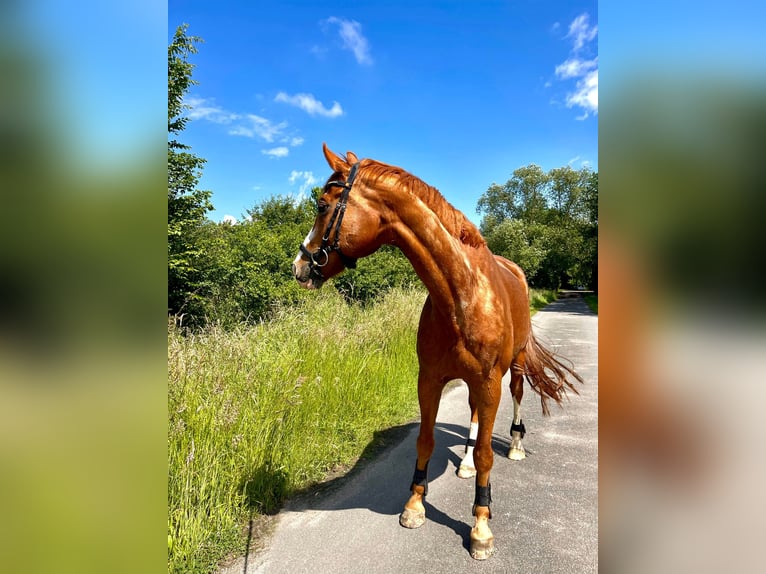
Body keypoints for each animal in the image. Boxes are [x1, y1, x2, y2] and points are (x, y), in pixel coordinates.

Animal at [294, 145, 584, 564]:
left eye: (322, 204)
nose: (299, 266)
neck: (461, 294)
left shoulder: (489, 381)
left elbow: (487, 455)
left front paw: (481, 526)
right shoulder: (430, 379)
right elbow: (426, 441)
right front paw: (415, 505)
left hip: (511, 369)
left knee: (515, 397)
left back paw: (514, 446)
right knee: (474, 415)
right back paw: (463, 462)